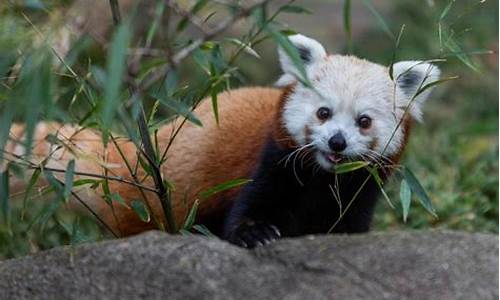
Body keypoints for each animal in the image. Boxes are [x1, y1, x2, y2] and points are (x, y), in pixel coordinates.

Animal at [5, 34, 440, 247]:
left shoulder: (360, 190)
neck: (323, 178)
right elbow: (248, 208)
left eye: (363, 122)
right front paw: (256, 233)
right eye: (323, 113)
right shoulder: (271, 163)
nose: (336, 142)